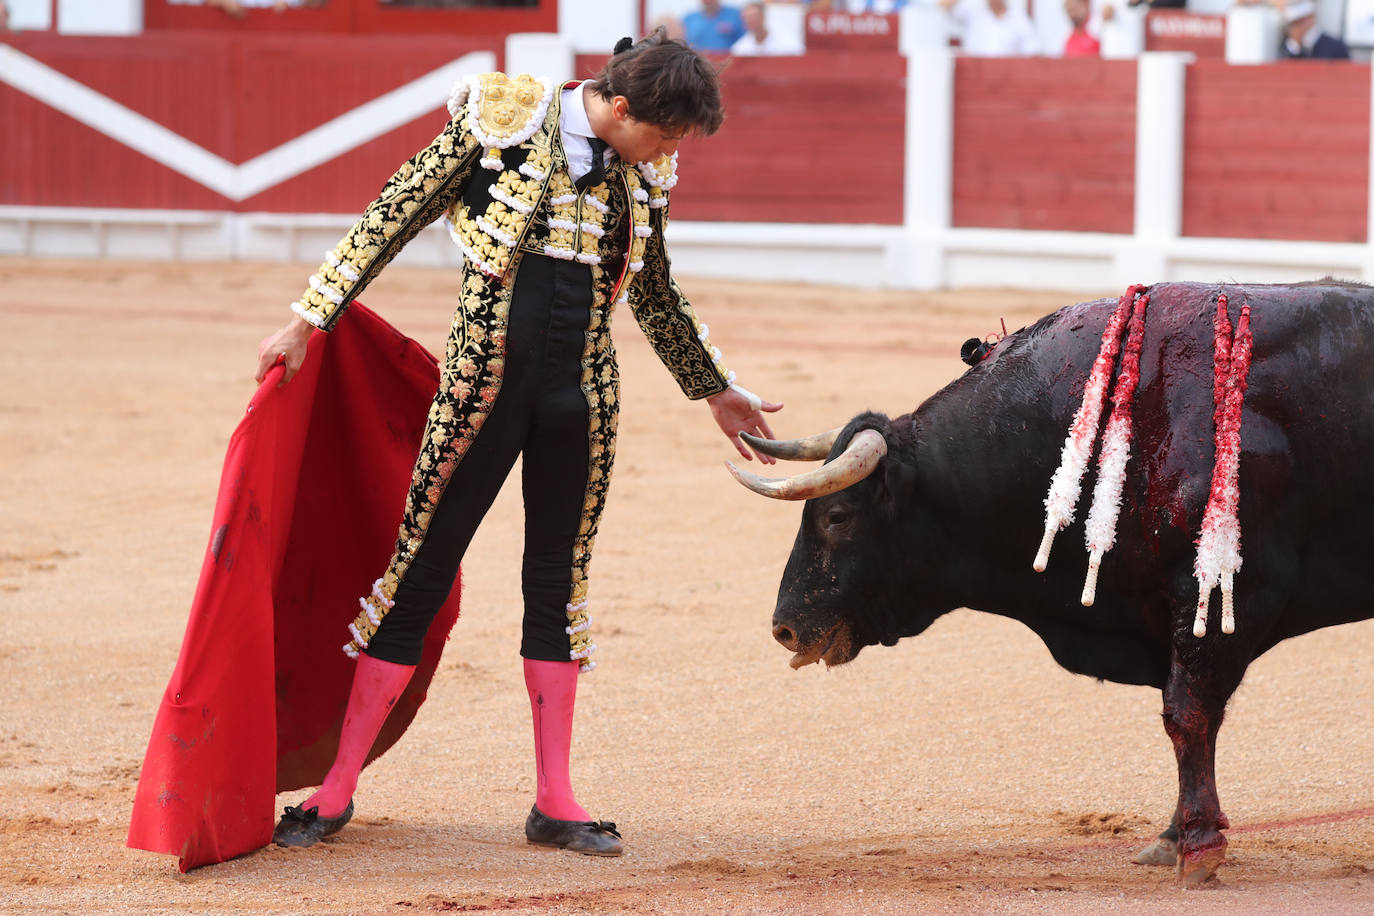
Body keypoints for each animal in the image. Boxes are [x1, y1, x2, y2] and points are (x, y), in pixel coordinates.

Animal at [736, 281, 1374, 889]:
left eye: (837, 516)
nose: (785, 628)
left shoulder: (1221, 599)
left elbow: (1187, 714)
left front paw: (1197, 847)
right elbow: (1188, 716)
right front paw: (1172, 836)